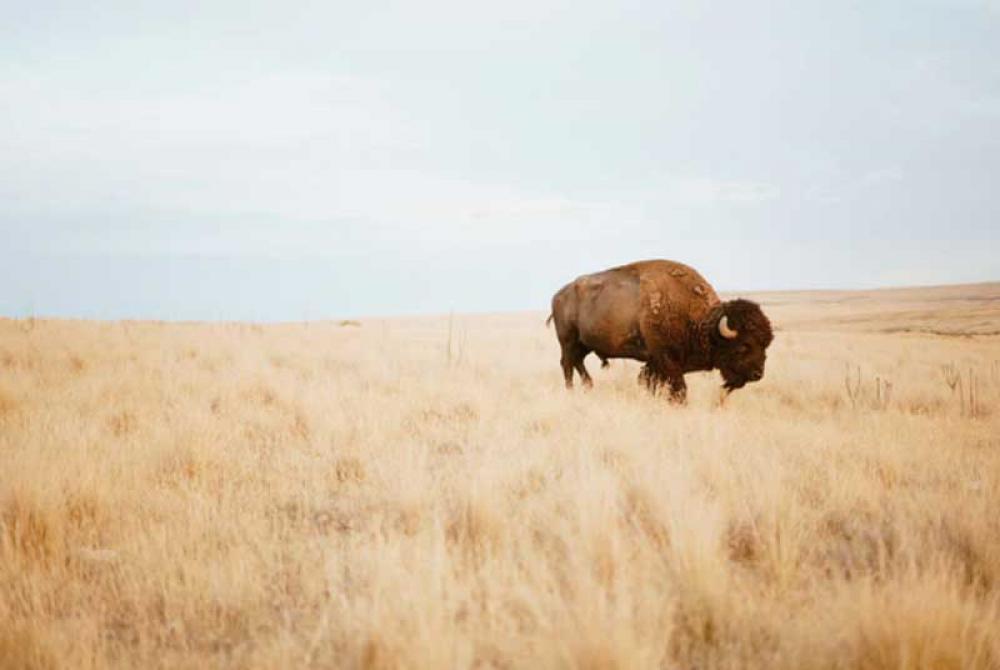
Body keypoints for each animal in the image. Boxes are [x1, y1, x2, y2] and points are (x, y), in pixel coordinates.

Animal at [548, 260, 772, 402]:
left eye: (766, 344)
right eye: (744, 345)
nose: (758, 374)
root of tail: (558, 295)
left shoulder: (655, 363)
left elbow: (650, 382)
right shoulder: (666, 360)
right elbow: (678, 388)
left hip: (584, 344)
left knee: (577, 362)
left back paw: (589, 386)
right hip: (568, 341)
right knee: (567, 364)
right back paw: (571, 391)